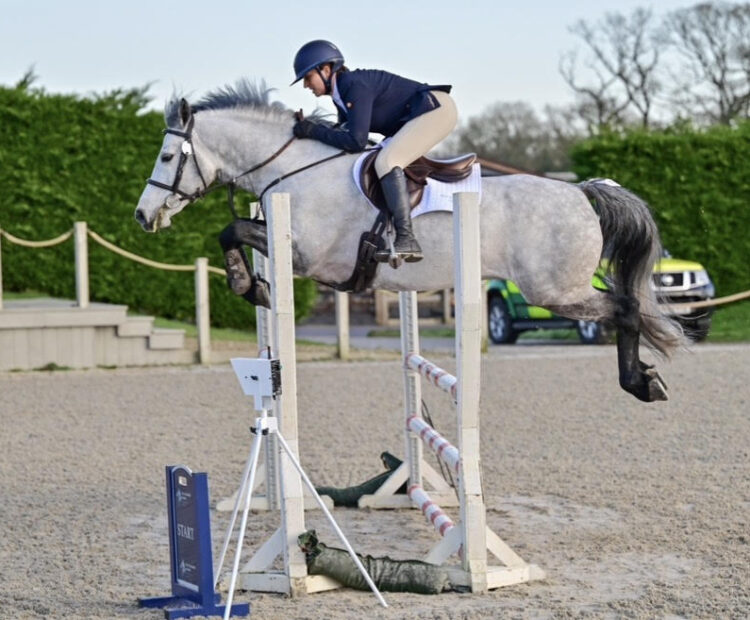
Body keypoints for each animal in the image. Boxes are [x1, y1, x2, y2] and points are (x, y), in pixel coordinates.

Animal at [134, 81, 683, 402]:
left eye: (167, 157)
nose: (142, 216)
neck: (293, 167)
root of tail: (583, 191)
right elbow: (233, 232)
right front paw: (254, 287)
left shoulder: (306, 256)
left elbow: (231, 230)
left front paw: (251, 287)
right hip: (559, 289)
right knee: (625, 307)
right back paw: (644, 378)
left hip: (554, 291)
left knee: (625, 309)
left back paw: (641, 383)